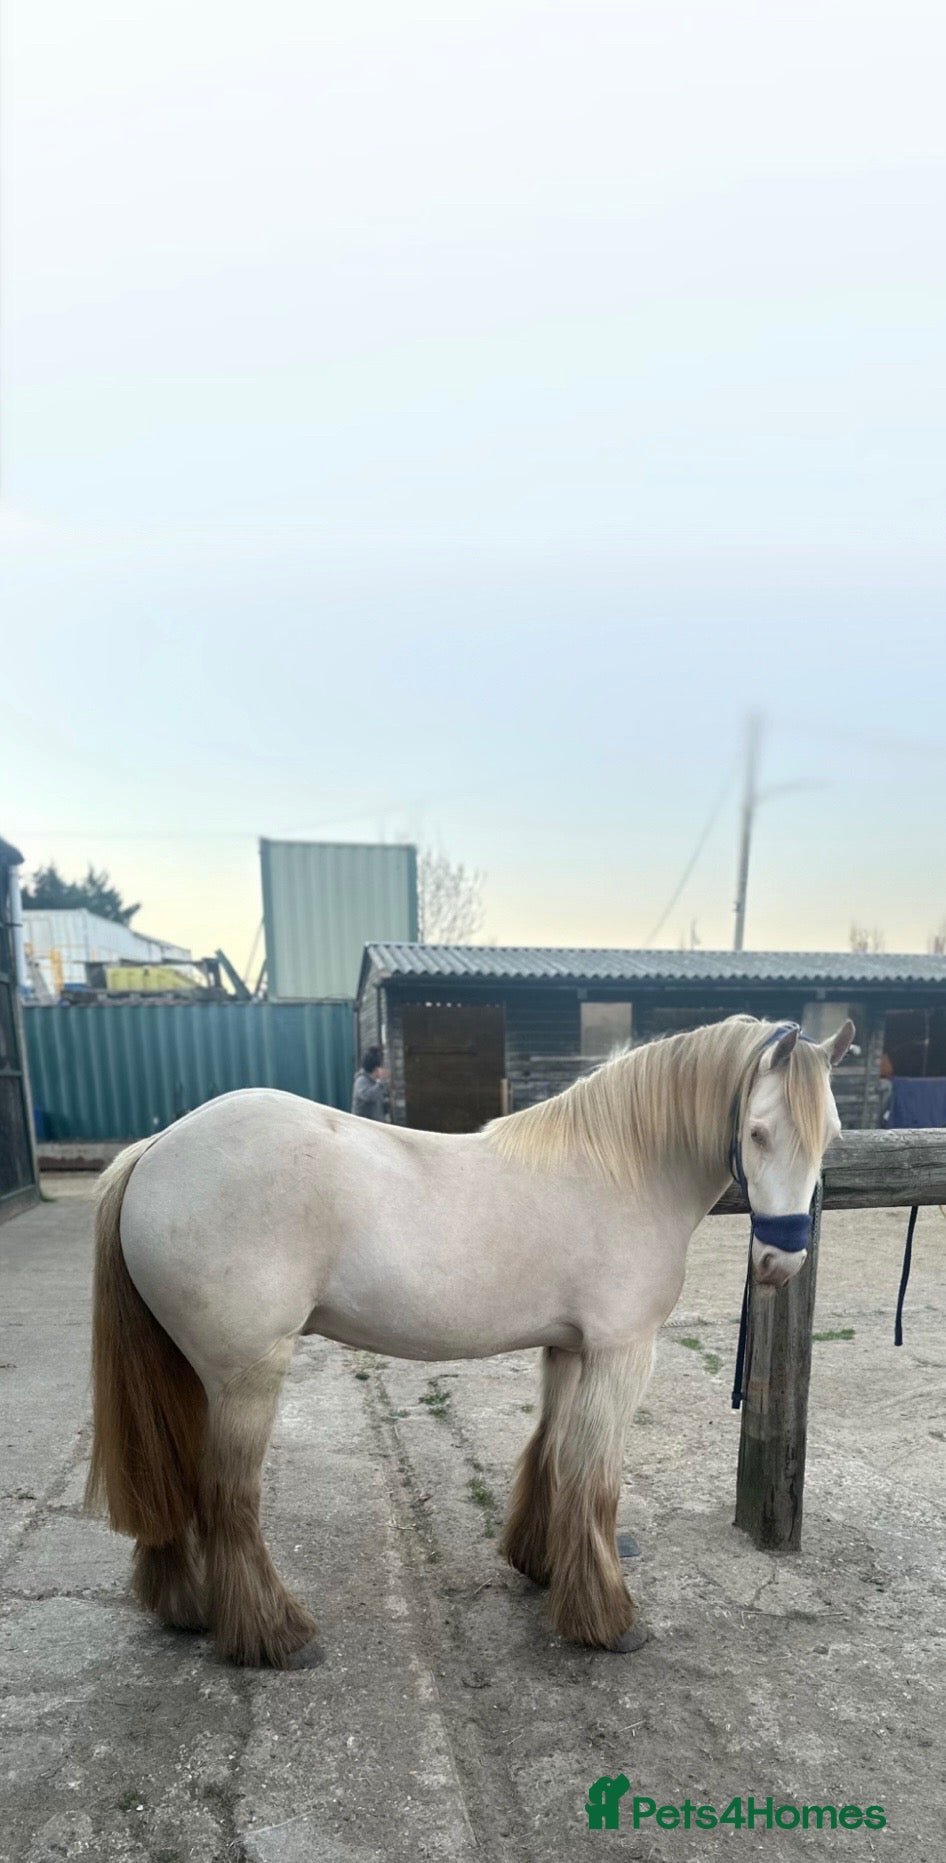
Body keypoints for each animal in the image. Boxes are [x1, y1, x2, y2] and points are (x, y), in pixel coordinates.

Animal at [85, 1012, 853, 1666]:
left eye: (834, 1134)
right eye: (758, 1132)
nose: (779, 1263)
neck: (623, 1168)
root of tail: (156, 1149)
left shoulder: (570, 1348)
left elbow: (553, 1456)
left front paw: (541, 1566)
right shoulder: (621, 1351)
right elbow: (596, 1479)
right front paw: (607, 1621)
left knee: (174, 1481)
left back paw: (185, 1606)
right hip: (246, 1375)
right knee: (228, 1498)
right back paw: (274, 1636)